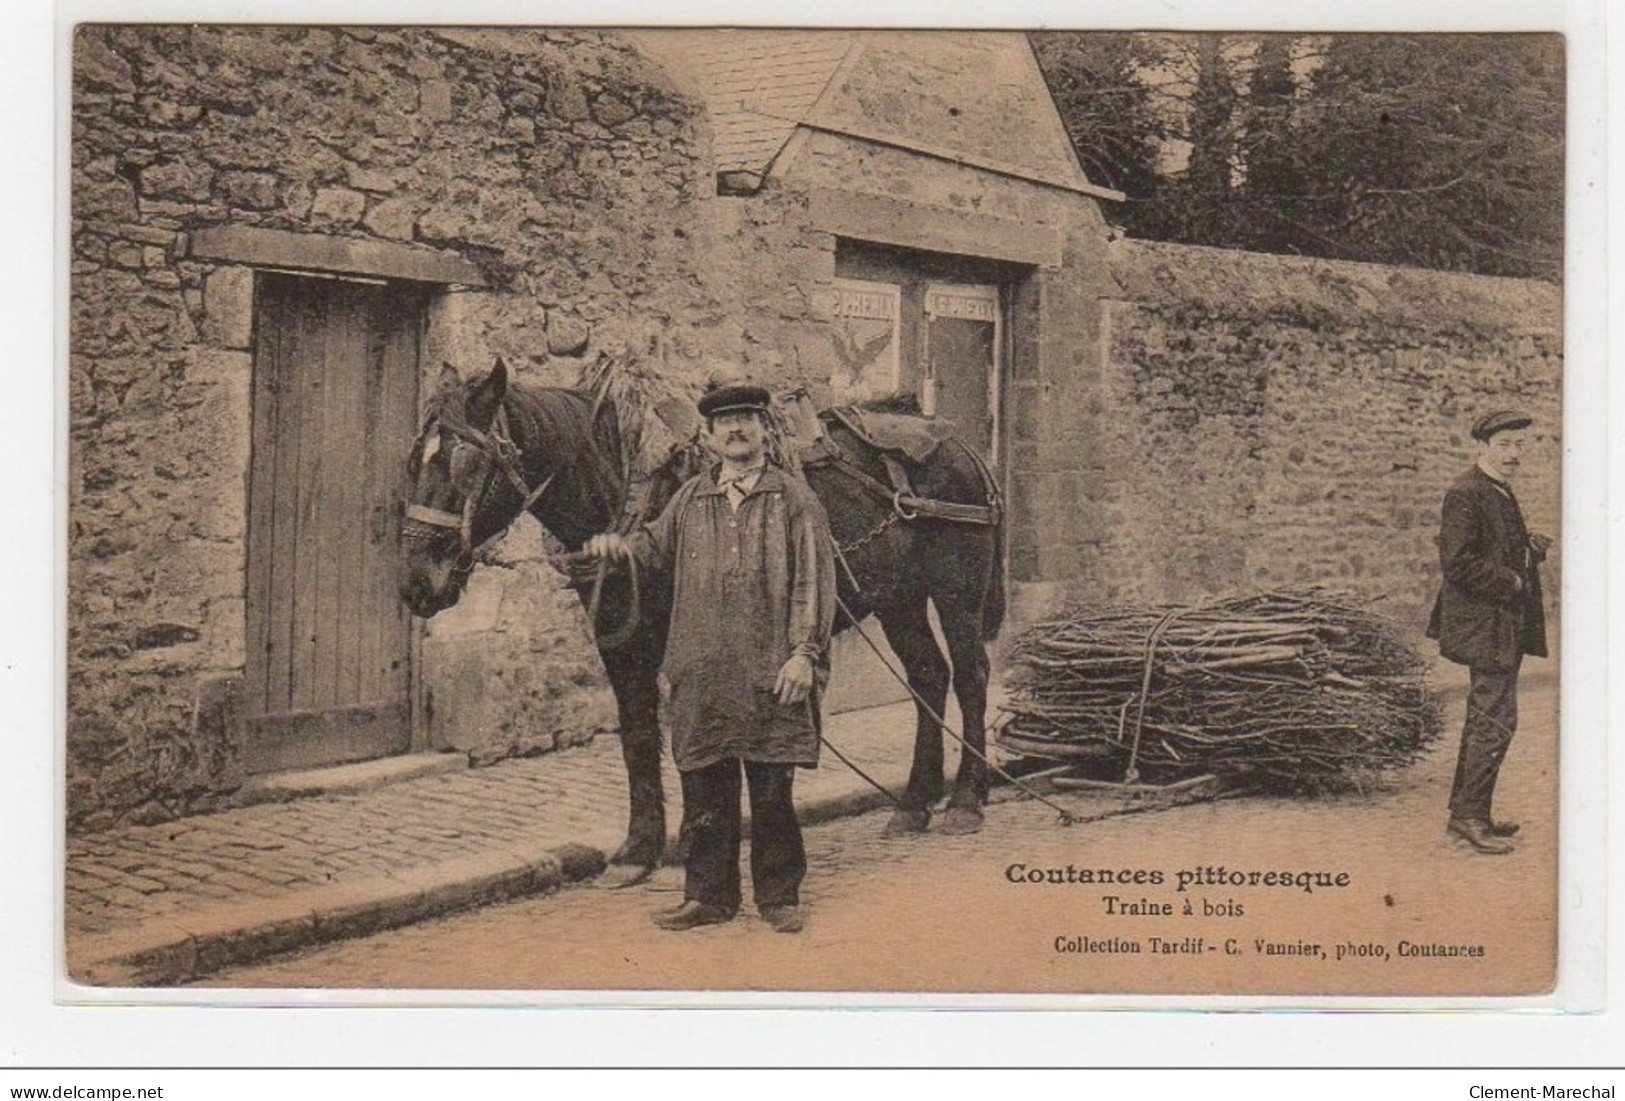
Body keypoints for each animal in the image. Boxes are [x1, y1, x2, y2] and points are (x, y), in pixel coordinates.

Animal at [396, 362, 1001, 889]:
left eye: (466, 464)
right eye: (413, 461)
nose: (417, 582)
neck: (630, 486)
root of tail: (955, 440)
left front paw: (695, 837)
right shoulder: (622, 643)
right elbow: (639, 738)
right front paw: (638, 849)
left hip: (956, 589)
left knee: (971, 675)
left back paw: (967, 799)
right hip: (900, 597)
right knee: (929, 676)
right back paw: (914, 803)